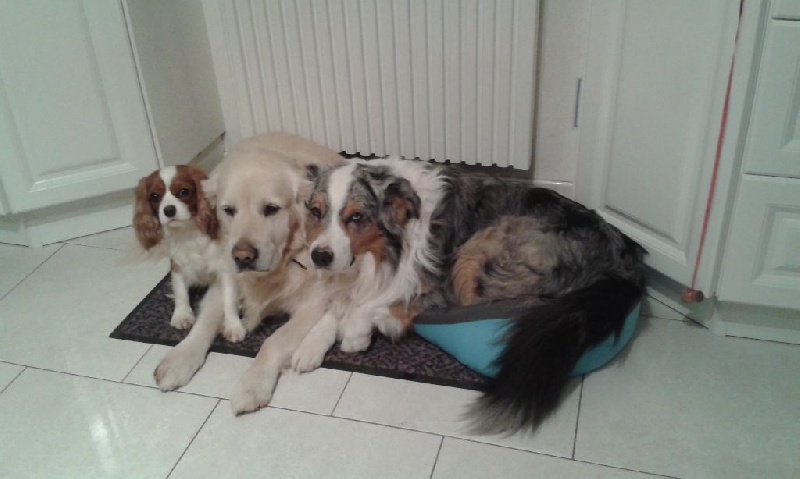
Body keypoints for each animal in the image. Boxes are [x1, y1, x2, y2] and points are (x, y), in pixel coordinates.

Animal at [152, 132, 344, 415]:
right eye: (228, 210)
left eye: (271, 208)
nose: (243, 257)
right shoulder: (223, 282)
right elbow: (203, 324)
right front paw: (180, 358)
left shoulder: (312, 303)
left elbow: (273, 342)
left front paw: (253, 384)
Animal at [293, 157, 646, 434]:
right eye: (316, 212)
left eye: (356, 217)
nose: (319, 257)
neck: (382, 254)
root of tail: (626, 262)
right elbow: (337, 307)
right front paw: (310, 344)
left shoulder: (433, 279)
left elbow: (376, 304)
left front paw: (356, 332)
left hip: (483, 250)